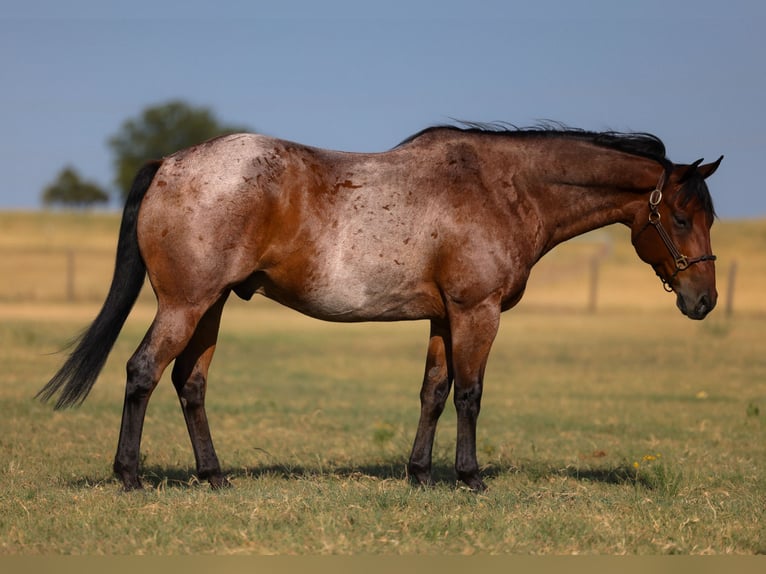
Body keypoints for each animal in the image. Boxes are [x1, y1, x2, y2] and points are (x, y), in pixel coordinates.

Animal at [38, 123, 722, 492]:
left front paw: (420, 474)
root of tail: (171, 162)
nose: (705, 300)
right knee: (143, 371)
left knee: (189, 382)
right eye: (681, 218)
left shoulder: (444, 317)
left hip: (210, 307)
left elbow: (434, 392)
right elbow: (470, 394)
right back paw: (129, 475)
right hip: (185, 304)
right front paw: (469, 476)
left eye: (707, 217)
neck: (500, 188)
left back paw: (215, 476)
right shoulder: (477, 312)